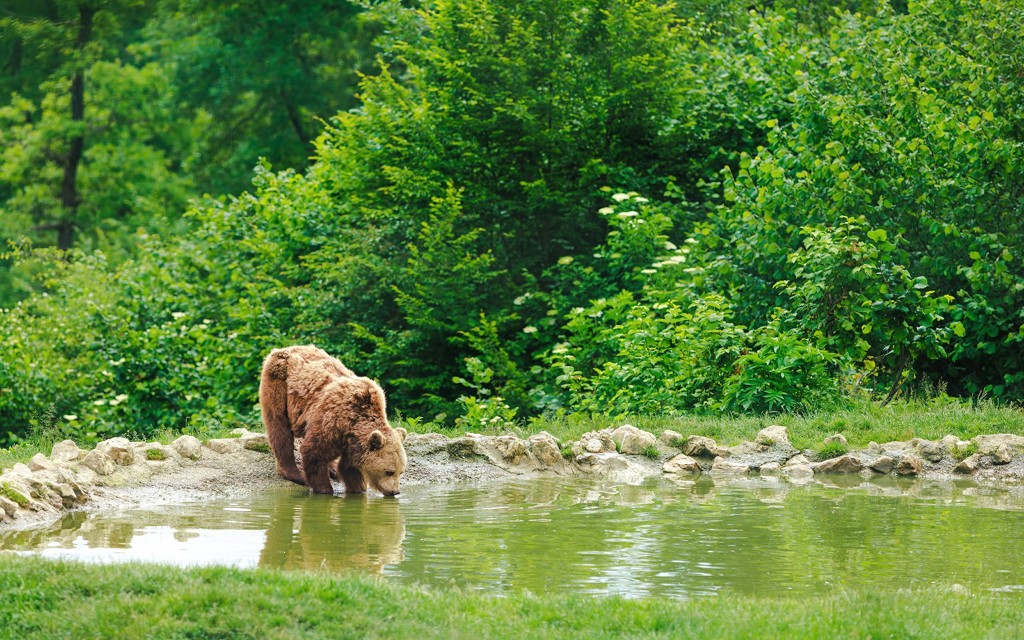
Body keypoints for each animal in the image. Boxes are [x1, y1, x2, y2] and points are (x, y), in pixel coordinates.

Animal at [259, 345, 407, 496]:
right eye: (389, 471)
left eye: (400, 472)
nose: (395, 491)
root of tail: (282, 349)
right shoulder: (332, 419)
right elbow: (313, 452)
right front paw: (325, 489)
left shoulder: (350, 440)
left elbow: (349, 468)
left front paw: (357, 489)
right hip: (279, 384)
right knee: (280, 427)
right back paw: (294, 474)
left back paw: (333, 469)